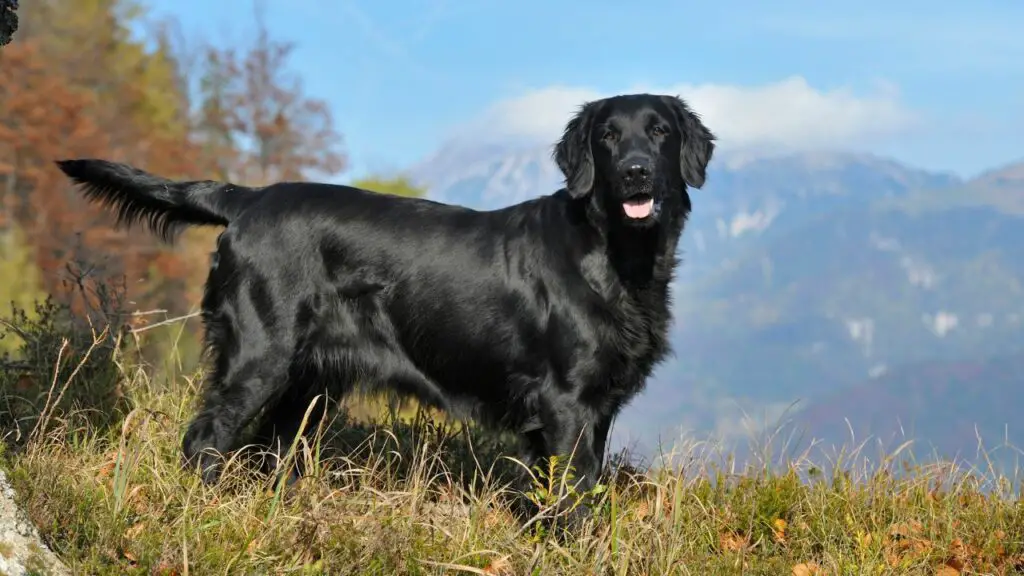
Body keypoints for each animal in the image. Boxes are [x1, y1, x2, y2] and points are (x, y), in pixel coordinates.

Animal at [54, 93, 712, 516]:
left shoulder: (595, 408)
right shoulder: (566, 403)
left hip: (307, 386)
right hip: (259, 358)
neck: (616, 254)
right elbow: (571, 500)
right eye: (607, 135)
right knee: (205, 439)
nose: (636, 173)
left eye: (660, 132)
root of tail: (248, 199)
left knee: (268, 449)